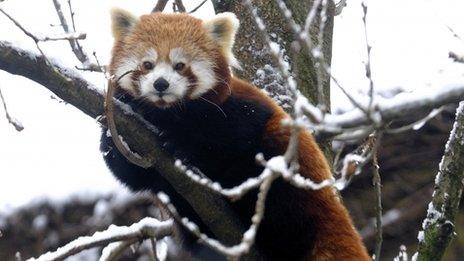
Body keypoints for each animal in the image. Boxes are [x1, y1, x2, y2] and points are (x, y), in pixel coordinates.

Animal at [101, 8, 370, 260]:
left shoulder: (240, 109)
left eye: (180, 66)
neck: (168, 113)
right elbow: (131, 174)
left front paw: (184, 149)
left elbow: (231, 140)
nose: (160, 84)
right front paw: (116, 137)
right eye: (147, 64)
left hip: (291, 174)